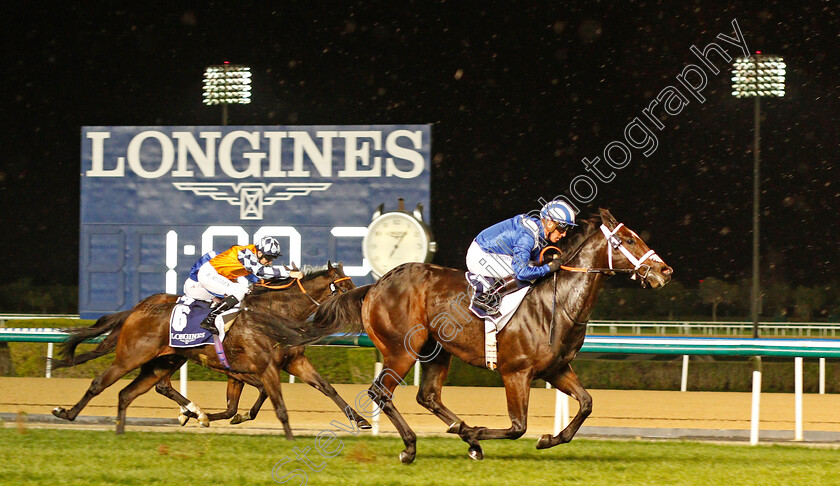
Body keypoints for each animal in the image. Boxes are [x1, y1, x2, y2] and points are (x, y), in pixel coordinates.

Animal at [50, 264, 370, 434]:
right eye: (344, 288)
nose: (364, 304)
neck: (274, 313)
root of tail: (137, 310)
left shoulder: (290, 362)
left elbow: (326, 388)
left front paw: (361, 420)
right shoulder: (250, 367)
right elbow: (255, 396)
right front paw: (208, 416)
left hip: (165, 360)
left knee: (145, 389)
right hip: (132, 354)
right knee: (99, 382)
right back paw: (66, 413)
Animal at [312, 210, 672, 464]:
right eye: (628, 241)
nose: (664, 271)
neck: (557, 303)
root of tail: (376, 285)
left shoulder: (556, 369)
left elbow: (586, 404)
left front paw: (547, 439)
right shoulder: (516, 372)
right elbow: (517, 427)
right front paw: (479, 432)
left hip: (436, 351)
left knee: (427, 396)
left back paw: (464, 437)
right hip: (402, 350)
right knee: (380, 392)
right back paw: (412, 447)